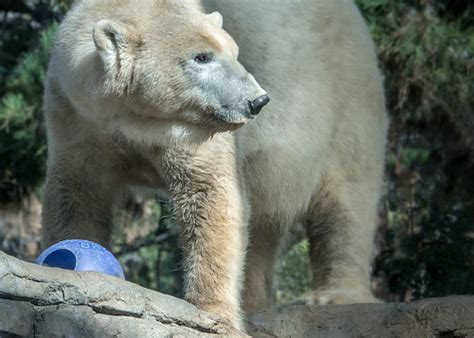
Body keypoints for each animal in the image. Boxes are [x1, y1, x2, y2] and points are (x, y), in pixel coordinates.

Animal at [42, 0, 386, 330]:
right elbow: (78, 195)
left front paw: (214, 312)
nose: (257, 100)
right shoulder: (78, 117)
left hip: (343, 95)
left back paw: (334, 295)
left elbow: (211, 194)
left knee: (346, 199)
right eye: (201, 57)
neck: (133, 120)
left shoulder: (196, 133)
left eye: (234, 51)